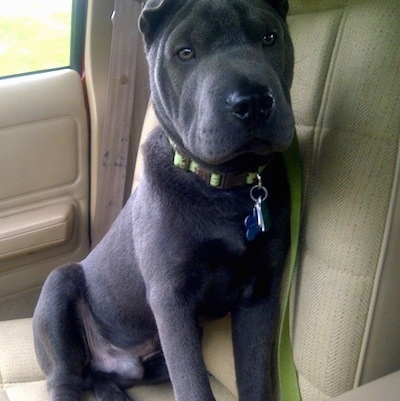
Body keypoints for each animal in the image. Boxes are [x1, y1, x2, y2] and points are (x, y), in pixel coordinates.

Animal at [32, 0, 294, 400]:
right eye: (185, 53)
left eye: (270, 37)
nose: (252, 101)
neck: (225, 187)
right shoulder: (172, 300)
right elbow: (194, 386)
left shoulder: (260, 293)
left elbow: (254, 378)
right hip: (58, 287)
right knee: (67, 378)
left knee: (102, 376)